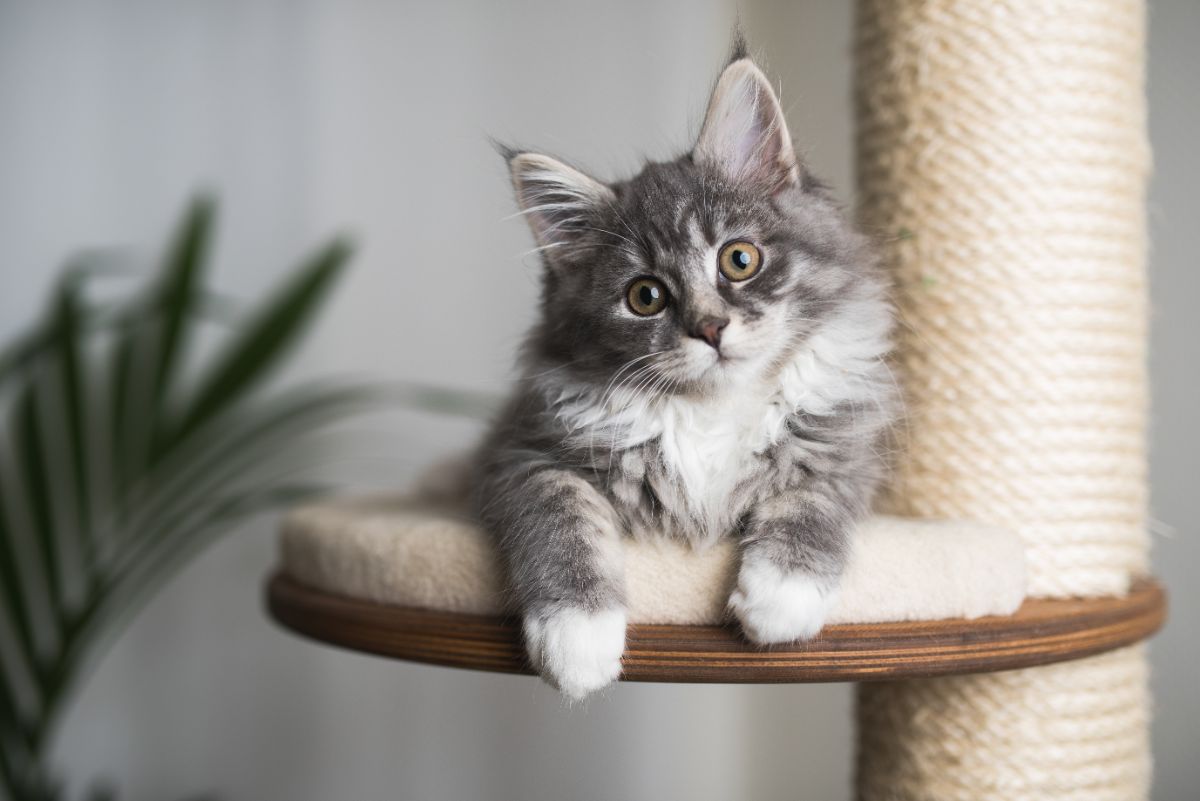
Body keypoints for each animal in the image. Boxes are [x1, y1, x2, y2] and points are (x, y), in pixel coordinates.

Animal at [472, 45, 897, 700]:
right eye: (645, 296)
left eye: (739, 259)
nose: (711, 328)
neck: (710, 410)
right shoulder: (520, 455)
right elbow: (559, 518)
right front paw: (576, 639)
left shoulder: (842, 448)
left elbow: (813, 502)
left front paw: (781, 599)